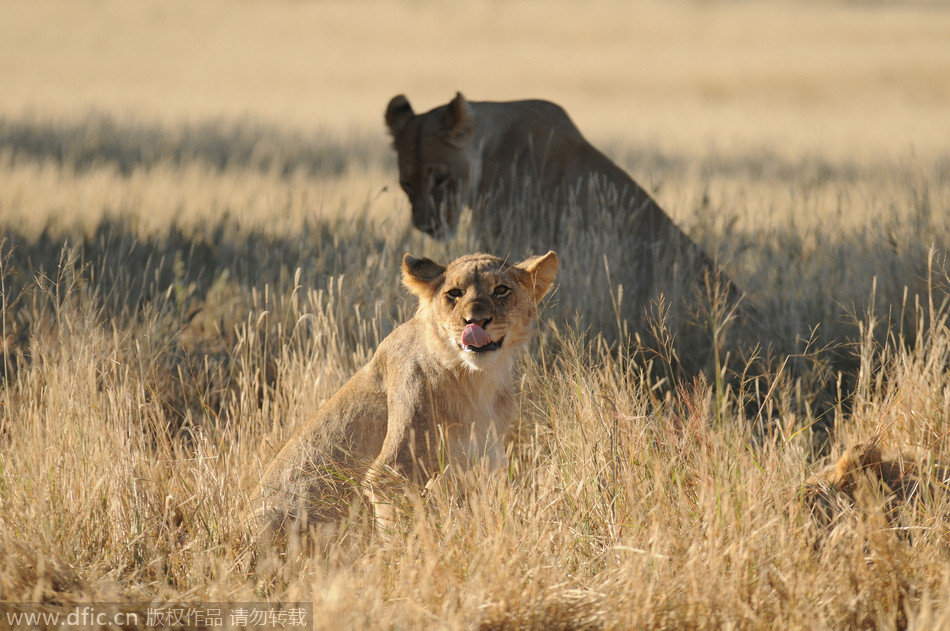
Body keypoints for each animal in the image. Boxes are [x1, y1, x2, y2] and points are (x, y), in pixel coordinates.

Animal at [256, 249, 560, 536]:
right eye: (454, 293)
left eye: (501, 290)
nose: (476, 321)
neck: (475, 380)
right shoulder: (392, 471)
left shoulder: (487, 459)